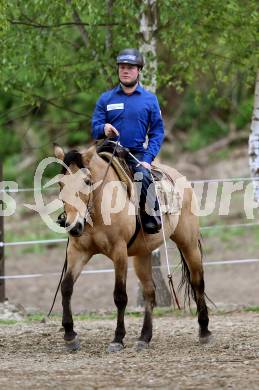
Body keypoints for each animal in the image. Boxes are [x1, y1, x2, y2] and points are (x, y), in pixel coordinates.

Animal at [53, 142, 213, 350]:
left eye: (87, 181)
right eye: (61, 184)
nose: (73, 225)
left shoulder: (119, 252)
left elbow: (120, 296)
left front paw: (117, 338)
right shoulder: (77, 251)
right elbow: (66, 287)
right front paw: (70, 334)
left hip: (189, 242)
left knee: (197, 282)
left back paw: (204, 331)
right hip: (142, 255)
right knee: (150, 292)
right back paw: (144, 337)